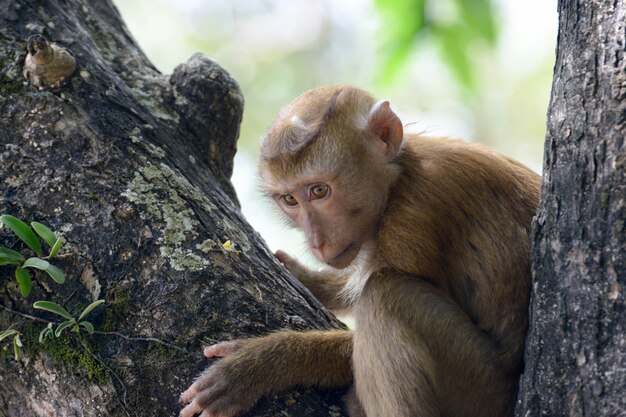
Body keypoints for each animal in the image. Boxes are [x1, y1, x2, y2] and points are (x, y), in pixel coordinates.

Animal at [178, 85, 540, 416]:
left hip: (483, 390)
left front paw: (261, 364)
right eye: (290, 200)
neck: (399, 179)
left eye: (319, 191)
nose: (316, 240)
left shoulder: (414, 224)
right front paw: (308, 278)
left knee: (386, 293)